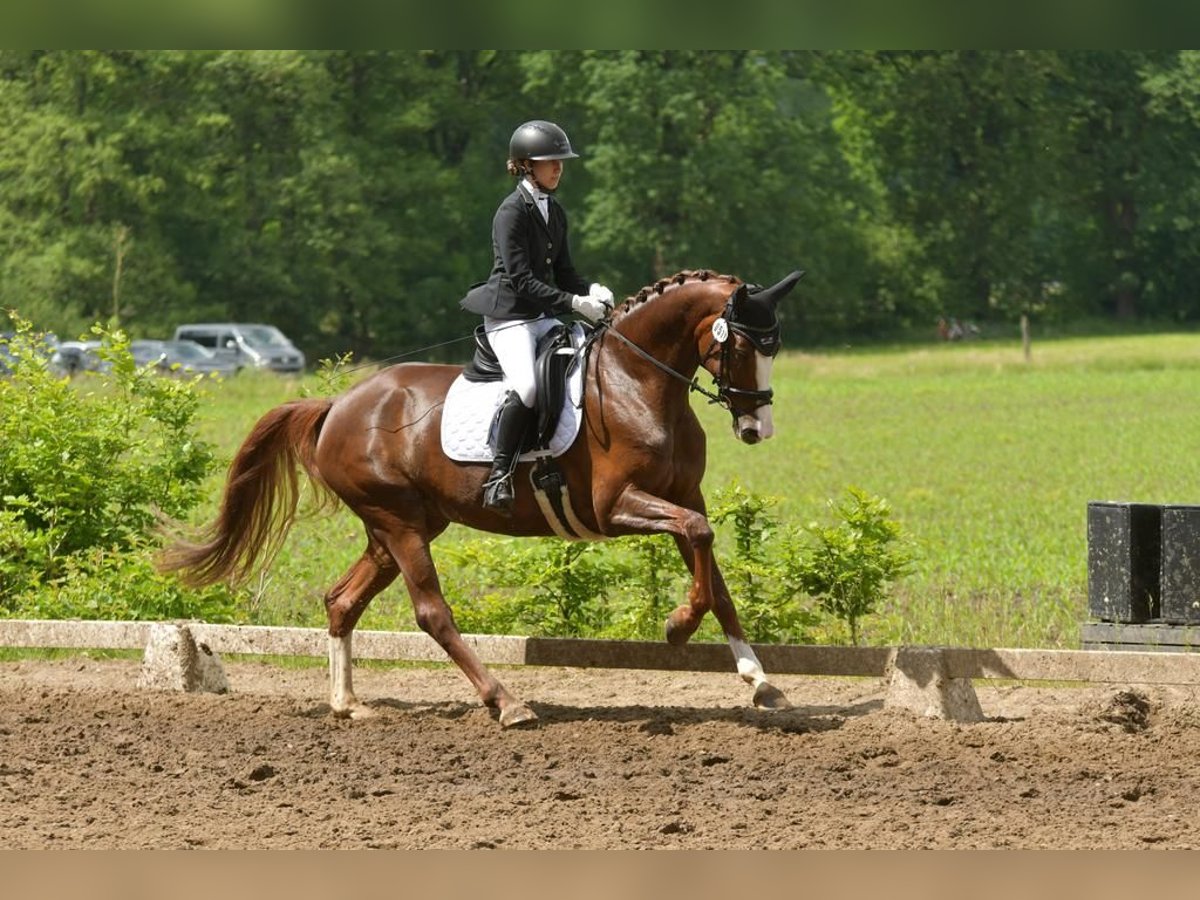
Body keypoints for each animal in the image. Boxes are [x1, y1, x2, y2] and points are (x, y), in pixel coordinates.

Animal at [160, 268, 805, 727]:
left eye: (774, 346)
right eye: (740, 346)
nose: (757, 429)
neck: (638, 382)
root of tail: (339, 405)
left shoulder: (682, 494)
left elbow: (714, 573)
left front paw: (760, 680)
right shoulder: (614, 506)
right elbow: (698, 534)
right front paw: (676, 626)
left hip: (397, 527)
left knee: (342, 601)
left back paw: (348, 704)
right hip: (400, 524)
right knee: (431, 612)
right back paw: (507, 702)